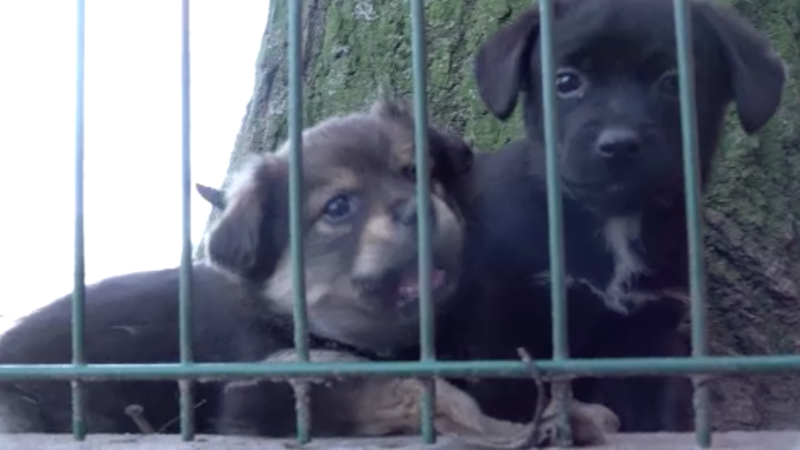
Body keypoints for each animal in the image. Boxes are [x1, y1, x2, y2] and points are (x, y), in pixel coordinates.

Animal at [444, 0, 788, 434]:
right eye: (566, 81)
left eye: (673, 81)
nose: (619, 145)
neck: (614, 221)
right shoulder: (504, 325)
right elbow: (511, 399)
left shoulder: (644, 335)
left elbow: (654, 415)